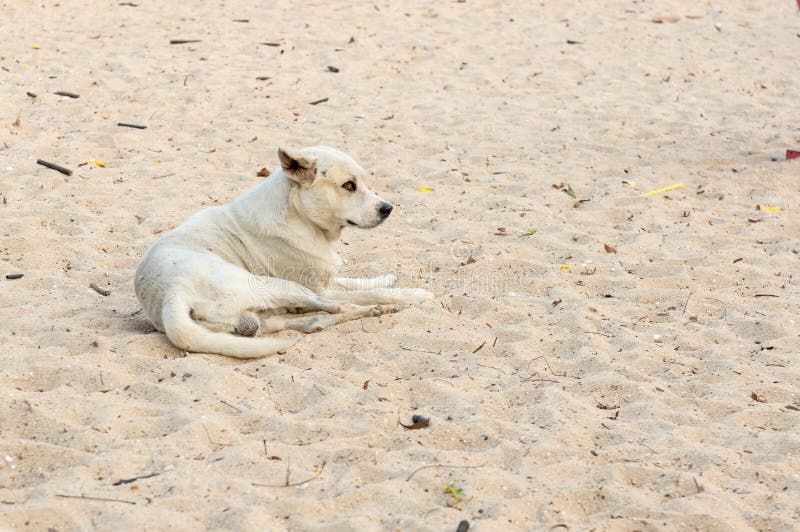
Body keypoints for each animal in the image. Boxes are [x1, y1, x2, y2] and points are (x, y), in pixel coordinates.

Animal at [134, 147, 432, 358]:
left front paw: (388, 279)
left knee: (314, 322)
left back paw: (372, 312)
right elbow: (369, 291)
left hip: (258, 319)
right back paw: (373, 308)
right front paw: (414, 294)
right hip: (275, 286)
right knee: (334, 306)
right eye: (349, 185)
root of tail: (170, 296)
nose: (388, 208)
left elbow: (358, 281)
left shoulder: (326, 278)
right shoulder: (321, 287)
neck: (298, 215)